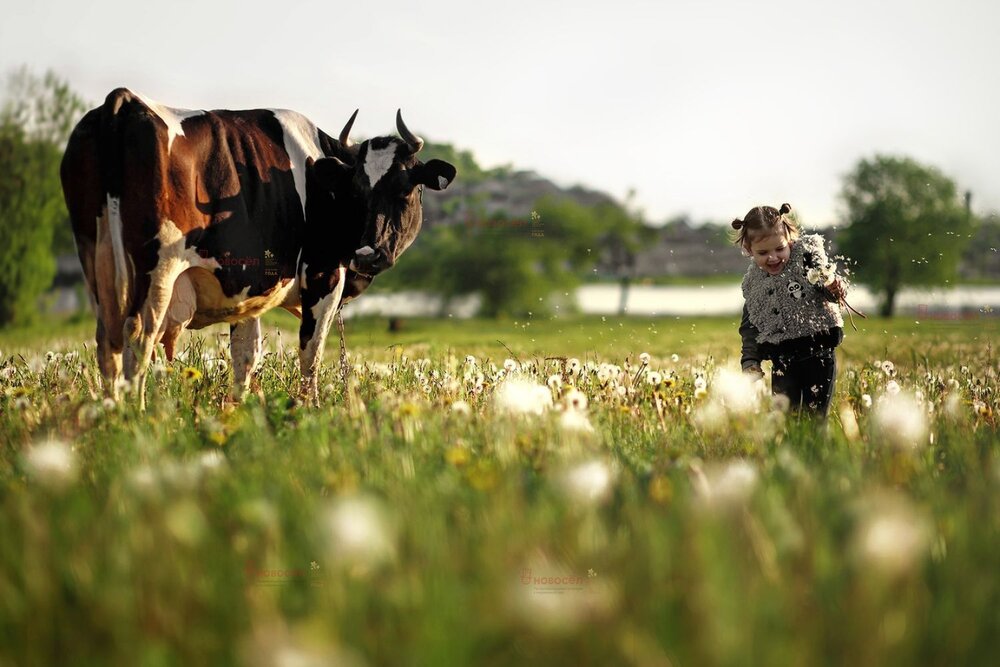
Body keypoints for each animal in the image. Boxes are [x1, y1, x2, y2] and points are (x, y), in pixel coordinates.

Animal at [58, 88, 458, 408]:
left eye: (404, 187)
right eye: (358, 188)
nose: (366, 254)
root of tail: (124, 101)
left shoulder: (247, 288)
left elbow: (245, 354)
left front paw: (237, 411)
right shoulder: (323, 274)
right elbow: (311, 352)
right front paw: (308, 409)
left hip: (95, 264)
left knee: (107, 342)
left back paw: (111, 413)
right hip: (156, 269)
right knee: (138, 338)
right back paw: (136, 417)